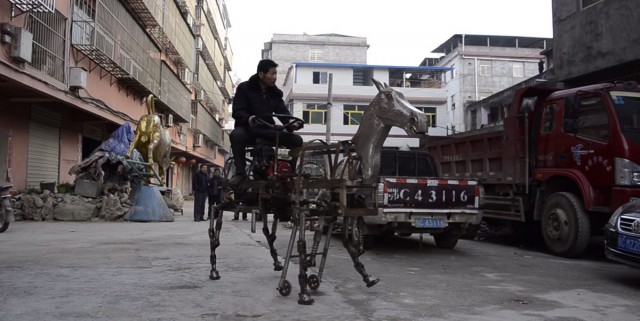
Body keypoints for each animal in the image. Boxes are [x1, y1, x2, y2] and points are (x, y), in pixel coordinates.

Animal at [210, 79, 430, 304]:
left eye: (403, 95)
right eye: (389, 96)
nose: (421, 120)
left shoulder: (334, 209)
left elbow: (345, 242)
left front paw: (363, 276)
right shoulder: (307, 209)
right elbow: (302, 243)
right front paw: (302, 290)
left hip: (267, 203)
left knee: (267, 230)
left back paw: (277, 263)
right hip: (230, 196)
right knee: (216, 215)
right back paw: (214, 267)